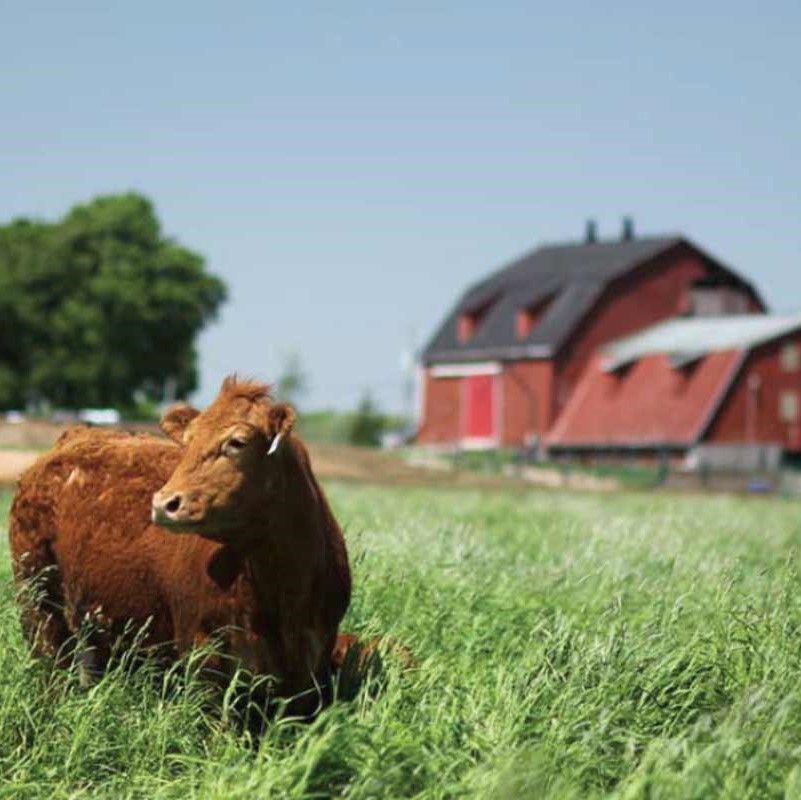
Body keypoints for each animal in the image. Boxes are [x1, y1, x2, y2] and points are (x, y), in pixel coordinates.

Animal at [10, 378, 354, 716]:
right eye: (187, 442)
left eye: (237, 442)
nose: (164, 504)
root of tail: (76, 435)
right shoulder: (204, 654)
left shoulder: (311, 667)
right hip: (38, 602)